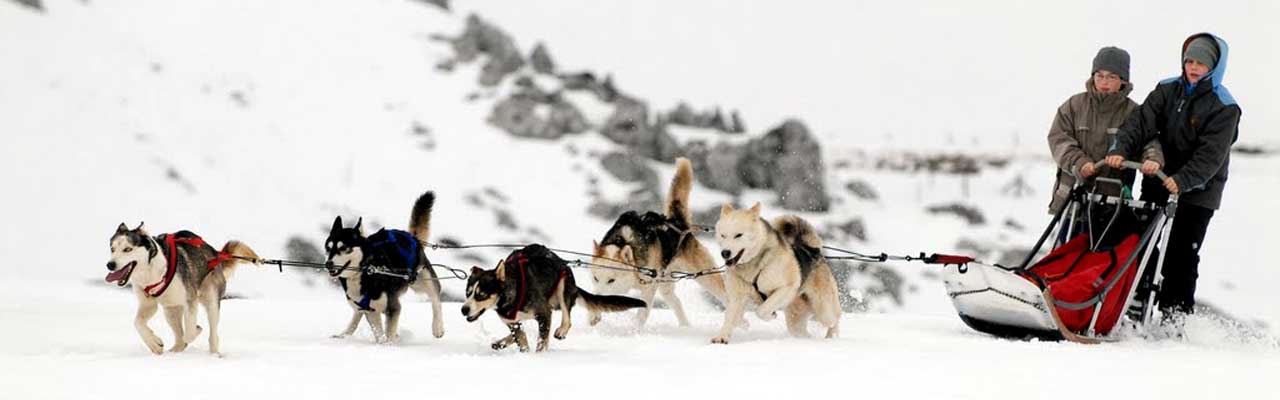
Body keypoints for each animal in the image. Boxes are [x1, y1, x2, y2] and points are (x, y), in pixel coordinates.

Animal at [103, 221, 262, 356]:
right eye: (112, 249)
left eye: (127, 249)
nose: (110, 265)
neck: (153, 272)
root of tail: (214, 253)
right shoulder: (148, 304)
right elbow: (138, 323)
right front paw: (154, 344)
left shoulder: (190, 300)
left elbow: (190, 331)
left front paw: (195, 331)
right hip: (170, 310)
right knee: (179, 335)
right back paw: (174, 351)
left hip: (210, 300)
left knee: (211, 334)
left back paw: (213, 353)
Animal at [591, 157, 732, 326]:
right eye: (595, 278)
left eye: (611, 280)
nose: (598, 298)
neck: (624, 241)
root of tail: (677, 223)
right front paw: (593, 316)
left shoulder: (649, 288)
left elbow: (642, 314)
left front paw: (635, 329)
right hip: (666, 285)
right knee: (676, 303)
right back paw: (685, 326)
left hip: (705, 276)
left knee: (724, 295)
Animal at [711, 202, 839, 343]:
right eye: (723, 235)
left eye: (738, 235)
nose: (725, 253)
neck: (755, 267)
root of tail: (813, 250)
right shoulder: (736, 297)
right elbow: (730, 317)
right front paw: (722, 336)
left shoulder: (785, 288)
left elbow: (761, 311)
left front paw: (770, 316)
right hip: (795, 322)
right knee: (804, 333)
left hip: (824, 310)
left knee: (835, 319)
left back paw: (832, 336)